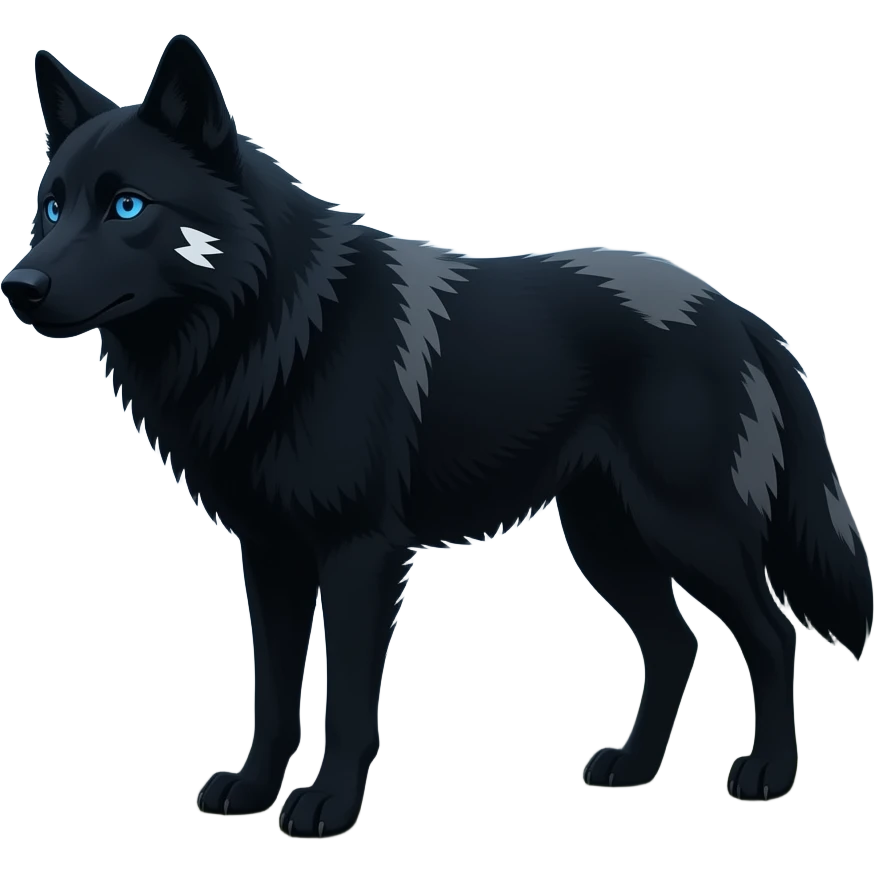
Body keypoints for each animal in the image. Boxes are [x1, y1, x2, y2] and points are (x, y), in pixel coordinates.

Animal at [3, 34, 871, 834]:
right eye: (53, 206)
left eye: (127, 206)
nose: (19, 286)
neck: (275, 326)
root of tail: (737, 313)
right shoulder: (270, 555)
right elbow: (273, 696)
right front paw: (251, 791)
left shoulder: (359, 554)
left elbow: (349, 703)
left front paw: (327, 805)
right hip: (606, 540)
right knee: (674, 644)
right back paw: (631, 769)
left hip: (690, 530)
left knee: (774, 634)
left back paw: (766, 773)